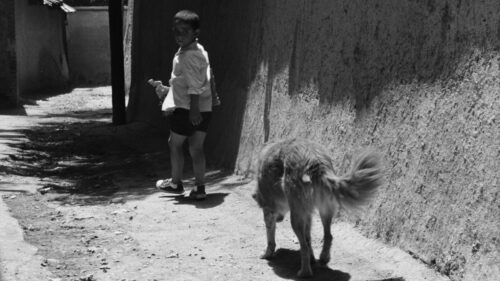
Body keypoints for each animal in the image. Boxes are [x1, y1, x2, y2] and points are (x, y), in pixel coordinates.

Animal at [254, 137, 382, 276]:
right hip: (325, 210)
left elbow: (270, 237)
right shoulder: (307, 215)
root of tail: (315, 160)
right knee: (328, 236)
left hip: (296, 219)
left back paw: (304, 272)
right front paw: (313, 259)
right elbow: (309, 239)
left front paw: (267, 254)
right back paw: (323, 258)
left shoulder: (269, 210)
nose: (279, 219)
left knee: (304, 247)